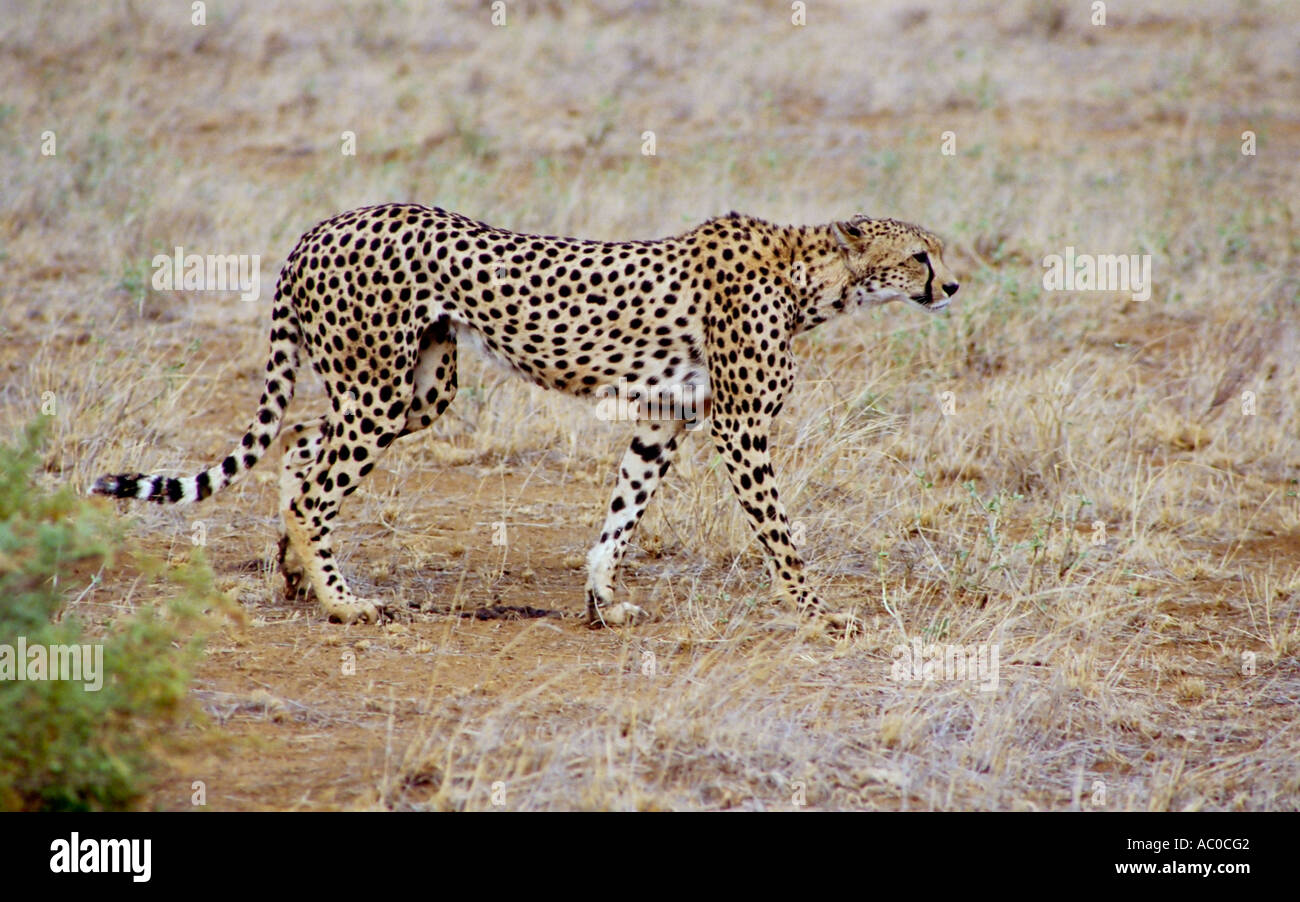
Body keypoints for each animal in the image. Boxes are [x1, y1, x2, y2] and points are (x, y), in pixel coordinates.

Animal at [94, 204, 956, 629]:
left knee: (303, 444)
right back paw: (343, 602)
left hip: (415, 389)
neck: (813, 276)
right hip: (378, 389)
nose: (949, 287)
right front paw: (819, 615)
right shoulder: (741, 427)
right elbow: (782, 535)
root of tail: (321, 227)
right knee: (315, 485)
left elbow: (622, 516)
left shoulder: (664, 417)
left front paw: (604, 603)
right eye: (919, 256)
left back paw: (298, 577)